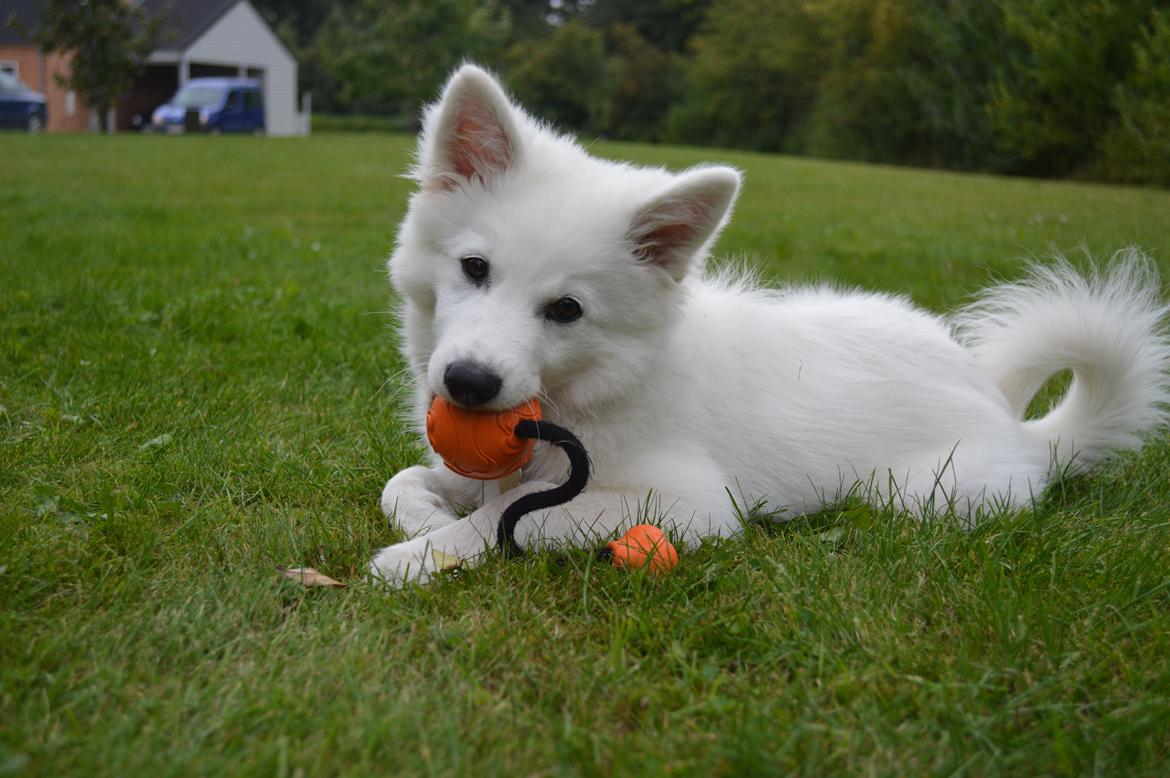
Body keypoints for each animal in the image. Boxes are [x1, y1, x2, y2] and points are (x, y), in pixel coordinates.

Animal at [369, 63, 1170, 582]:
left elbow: (516, 515)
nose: (469, 384)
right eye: (475, 268)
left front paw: (420, 557)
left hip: (920, 496)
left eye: (566, 310)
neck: (602, 384)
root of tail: (1014, 424)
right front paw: (427, 521)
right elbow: (407, 481)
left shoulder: (690, 505)